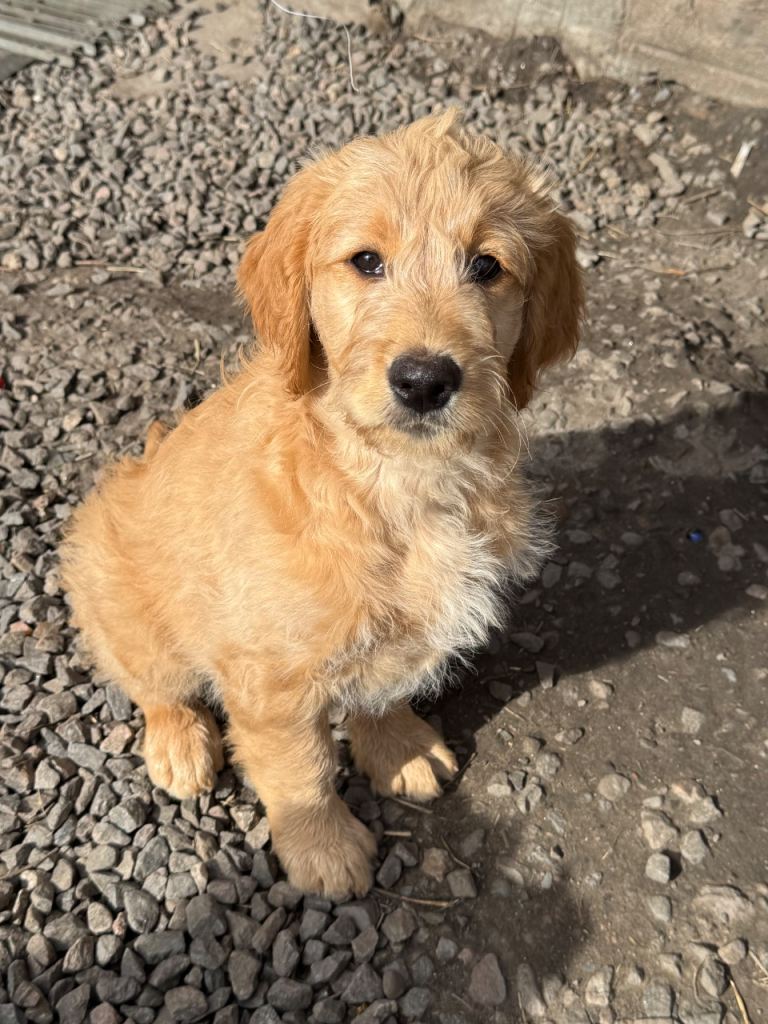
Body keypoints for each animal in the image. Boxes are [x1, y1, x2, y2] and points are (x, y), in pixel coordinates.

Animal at [61, 110, 583, 898]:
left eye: (488, 266)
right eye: (366, 261)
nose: (424, 380)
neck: (390, 481)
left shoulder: (394, 627)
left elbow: (384, 684)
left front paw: (396, 748)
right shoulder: (270, 678)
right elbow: (299, 769)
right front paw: (324, 849)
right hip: (124, 599)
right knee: (153, 684)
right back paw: (179, 746)